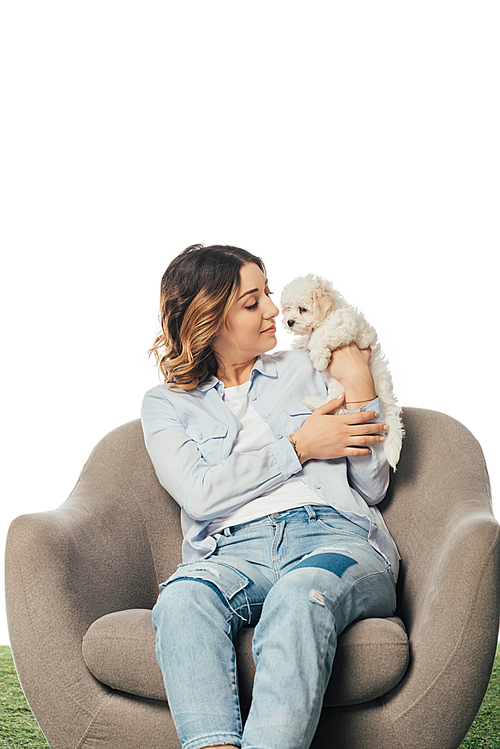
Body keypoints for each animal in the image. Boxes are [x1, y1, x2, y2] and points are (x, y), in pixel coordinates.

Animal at [282, 274, 402, 468]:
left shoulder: (345, 326)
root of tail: (387, 399)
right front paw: (299, 344)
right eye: (288, 308)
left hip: (341, 385)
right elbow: (309, 339)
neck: (328, 314)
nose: (289, 322)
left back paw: (310, 401)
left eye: (303, 309)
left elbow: (320, 335)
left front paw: (319, 358)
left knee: (335, 408)